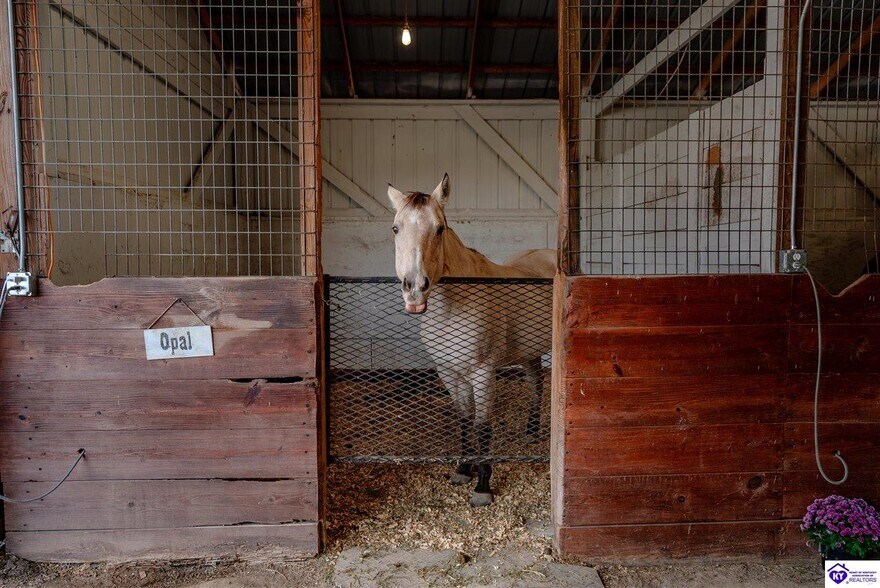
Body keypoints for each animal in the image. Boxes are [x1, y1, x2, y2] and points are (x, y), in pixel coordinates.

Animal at [387, 173, 555, 506]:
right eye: (396, 228)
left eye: (439, 228)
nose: (415, 289)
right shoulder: (450, 372)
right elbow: (464, 420)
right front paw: (463, 470)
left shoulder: (482, 372)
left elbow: (482, 426)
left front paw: (482, 488)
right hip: (528, 352)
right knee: (536, 382)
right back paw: (531, 431)